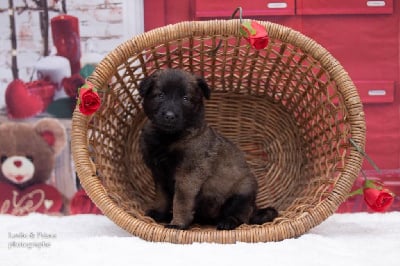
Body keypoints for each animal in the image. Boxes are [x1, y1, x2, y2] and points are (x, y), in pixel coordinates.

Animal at [139, 69, 276, 231]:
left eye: (186, 99)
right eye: (160, 95)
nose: (169, 116)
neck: (168, 138)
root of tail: (254, 207)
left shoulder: (188, 175)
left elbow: (180, 201)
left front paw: (178, 223)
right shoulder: (159, 175)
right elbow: (161, 197)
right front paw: (159, 214)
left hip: (242, 193)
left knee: (241, 216)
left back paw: (227, 222)